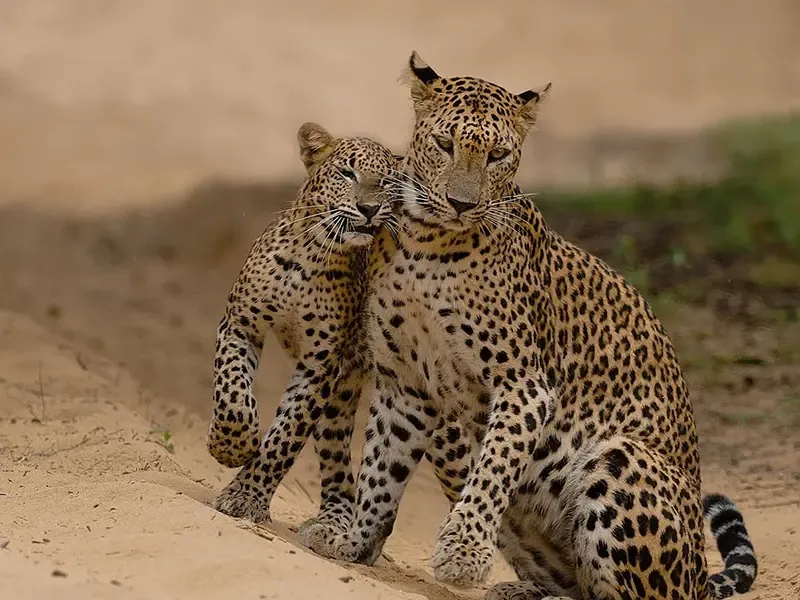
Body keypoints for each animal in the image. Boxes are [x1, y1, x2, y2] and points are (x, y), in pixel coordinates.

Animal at [206, 122, 400, 540]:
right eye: (347, 173)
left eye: (387, 183)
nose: (370, 208)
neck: (310, 257)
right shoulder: (240, 324)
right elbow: (232, 395)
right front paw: (231, 445)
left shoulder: (320, 364)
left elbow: (286, 435)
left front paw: (245, 498)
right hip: (340, 401)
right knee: (339, 464)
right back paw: (332, 525)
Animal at [305, 52, 758, 600]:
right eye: (444, 145)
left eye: (498, 154)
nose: (461, 203)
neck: (427, 244)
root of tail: (697, 579)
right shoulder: (406, 385)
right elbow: (380, 468)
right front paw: (354, 540)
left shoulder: (523, 385)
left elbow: (493, 470)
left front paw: (462, 553)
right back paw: (521, 590)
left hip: (621, 457)